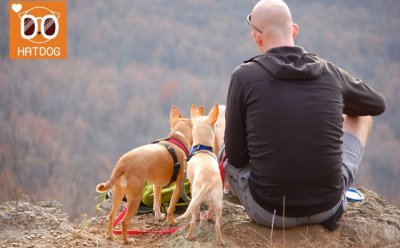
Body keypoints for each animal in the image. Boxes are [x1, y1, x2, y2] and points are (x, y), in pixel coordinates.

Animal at [96, 105, 191, 244]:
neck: (176, 141)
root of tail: (122, 165)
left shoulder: (157, 185)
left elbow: (157, 203)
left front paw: (159, 217)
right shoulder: (178, 185)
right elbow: (171, 207)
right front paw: (172, 221)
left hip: (118, 194)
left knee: (111, 215)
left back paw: (111, 236)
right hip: (135, 198)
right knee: (124, 221)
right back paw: (126, 240)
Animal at [178, 103, 225, 245]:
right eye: (215, 125)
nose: (218, 128)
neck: (202, 148)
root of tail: (207, 182)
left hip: (195, 198)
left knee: (193, 220)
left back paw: (189, 236)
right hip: (218, 202)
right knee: (217, 223)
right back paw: (220, 240)